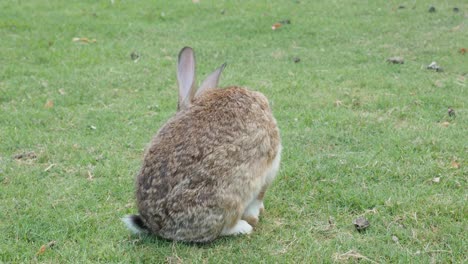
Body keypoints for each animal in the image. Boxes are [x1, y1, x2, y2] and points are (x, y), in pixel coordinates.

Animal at [121, 47, 282, 243]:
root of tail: (160, 228)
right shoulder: (268, 168)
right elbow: (258, 200)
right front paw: (256, 215)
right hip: (230, 193)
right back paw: (243, 227)